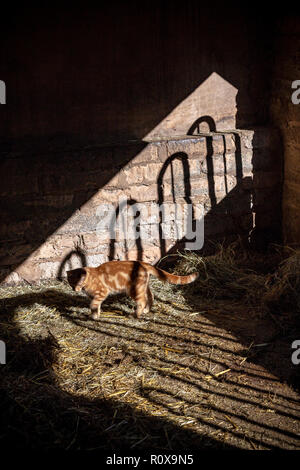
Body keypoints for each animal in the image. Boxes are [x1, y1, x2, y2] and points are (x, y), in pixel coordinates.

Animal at [67, 258, 199, 322]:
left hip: (134, 290)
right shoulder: (97, 296)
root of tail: (142, 263)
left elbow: (93, 304)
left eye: (79, 282)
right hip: (144, 287)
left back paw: (135, 315)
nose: (75, 289)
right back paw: (146, 311)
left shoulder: (102, 293)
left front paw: (94, 316)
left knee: (142, 302)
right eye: (71, 283)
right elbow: (97, 306)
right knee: (151, 297)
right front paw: (97, 314)